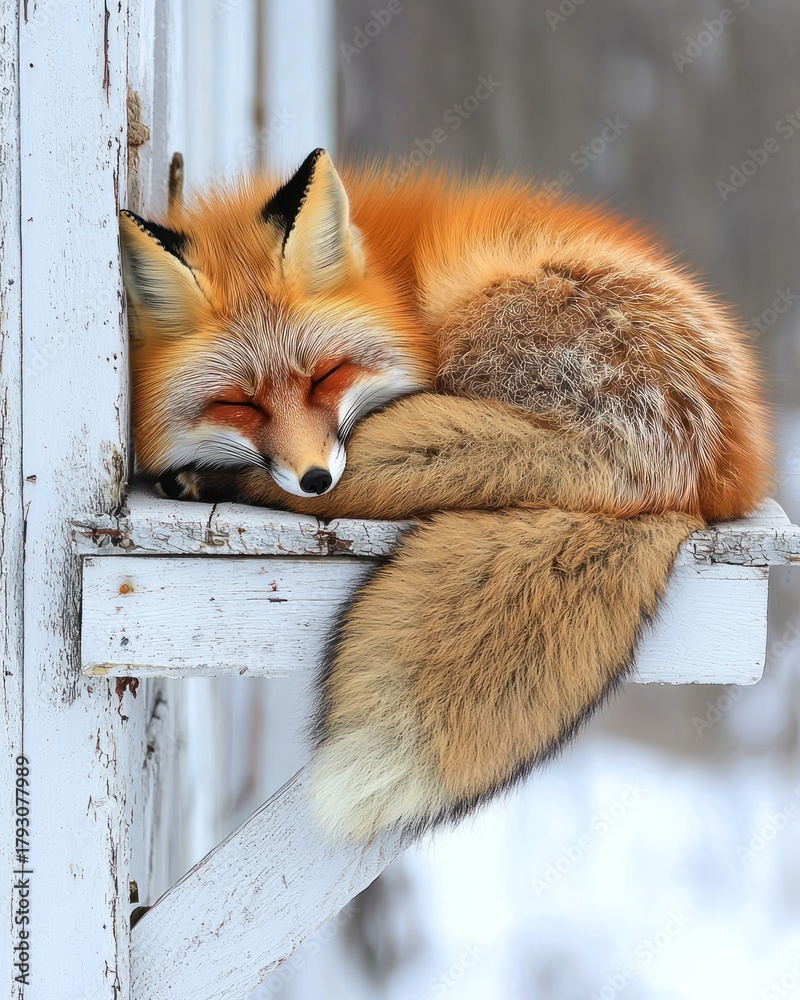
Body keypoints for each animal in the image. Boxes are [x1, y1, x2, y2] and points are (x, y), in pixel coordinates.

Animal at [119, 148, 772, 842]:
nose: (315, 477)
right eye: (240, 403)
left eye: (327, 375)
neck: (393, 286)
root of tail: (691, 480)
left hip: (480, 310)